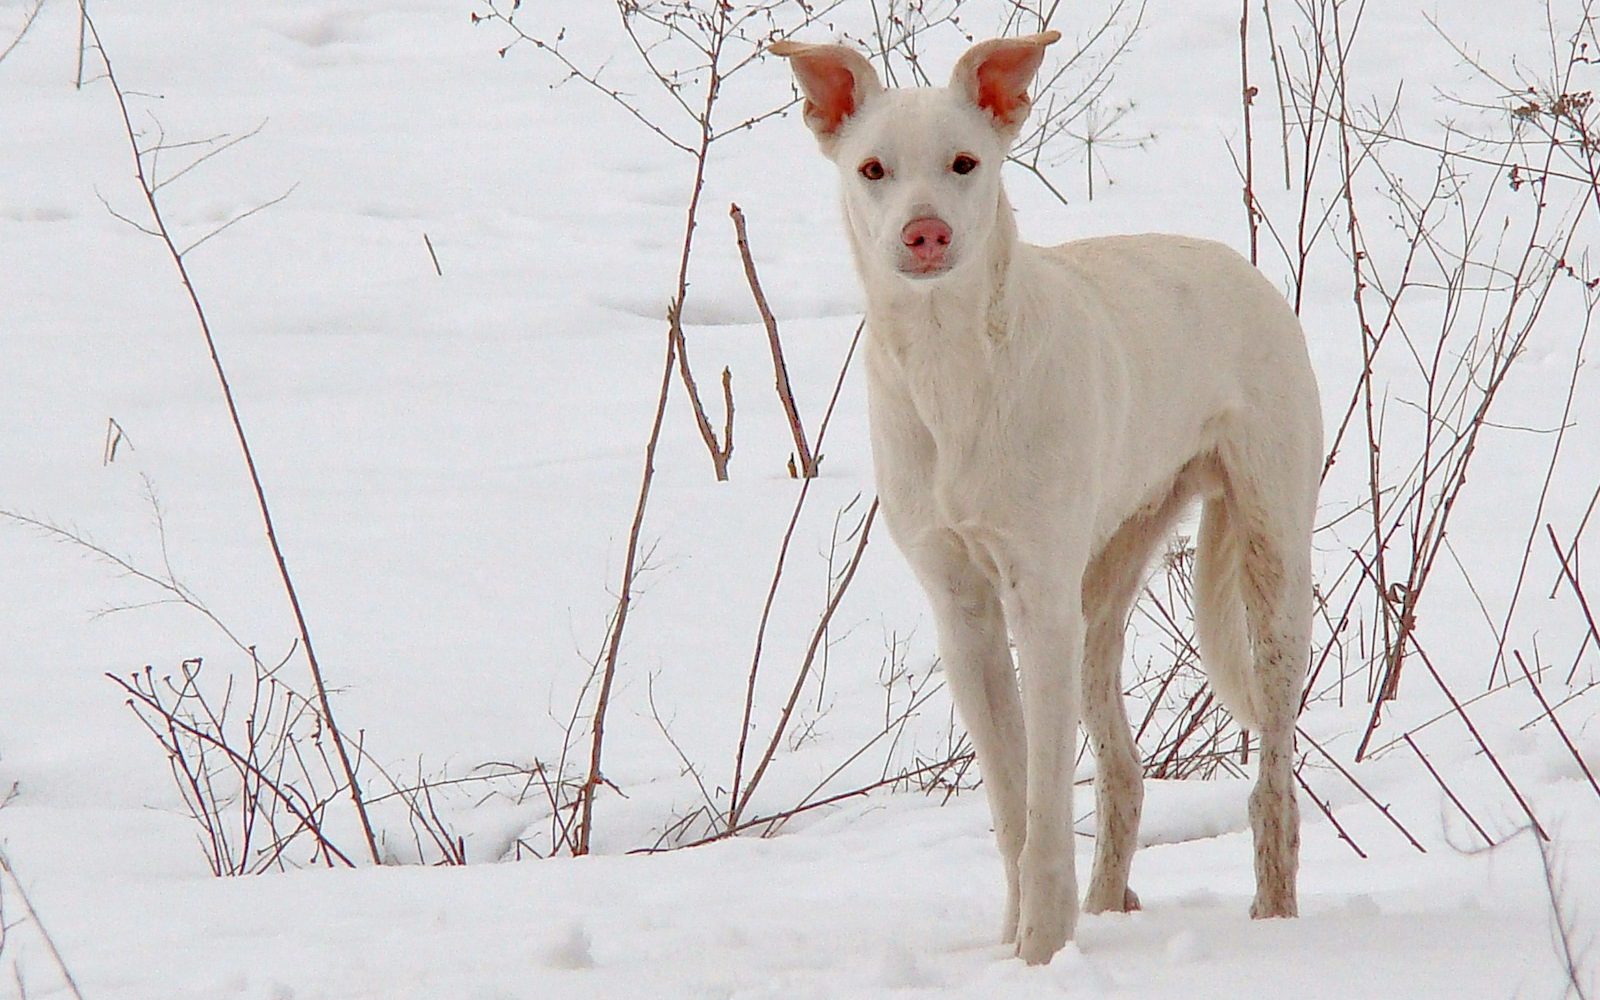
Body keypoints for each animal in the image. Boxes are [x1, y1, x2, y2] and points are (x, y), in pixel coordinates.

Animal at [768, 35, 1318, 966]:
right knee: (1124, 773)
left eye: (965, 164)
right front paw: (1025, 947)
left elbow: (1046, 803)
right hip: (1103, 585)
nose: (924, 232)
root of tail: (1240, 265)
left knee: (1271, 785)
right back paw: (1107, 906)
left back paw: (1275, 920)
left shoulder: (1038, 598)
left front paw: (1040, 950)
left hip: (1271, 567)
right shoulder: (964, 611)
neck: (953, 369)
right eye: (873, 169)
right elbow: (1010, 805)